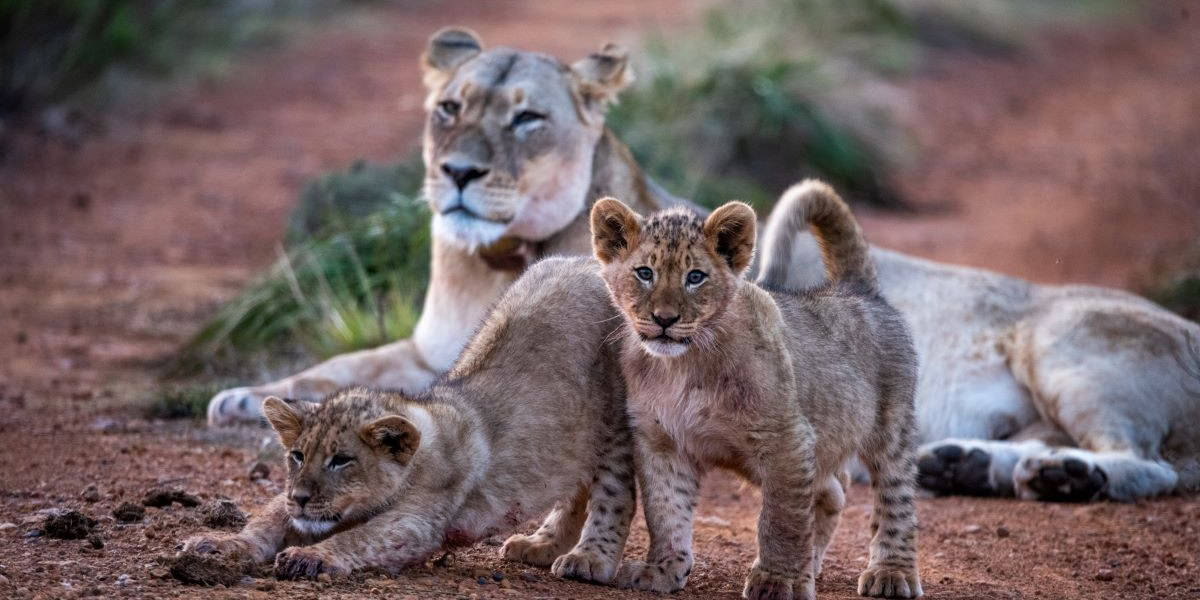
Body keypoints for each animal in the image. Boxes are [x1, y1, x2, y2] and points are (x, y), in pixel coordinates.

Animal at [181, 257, 636, 581]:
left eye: (341, 460)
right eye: (297, 456)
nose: (303, 498)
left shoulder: (416, 521)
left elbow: (361, 537)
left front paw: (310, 558)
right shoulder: (292, 503)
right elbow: (264, 522)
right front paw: (217, 545)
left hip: (618, 420)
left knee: (614, 494)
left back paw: (587, 561)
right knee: (575, 486)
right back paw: (540, 547)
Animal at [593, 182, 921, 600]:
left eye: (695, 277)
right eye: (644, 273)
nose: (664, 319)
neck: (683, 365)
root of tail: (856, 289)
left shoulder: (787, 439)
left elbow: (781, 519)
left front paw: (778, 581)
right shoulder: (661, 441)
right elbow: (665, 511)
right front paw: (663, 571)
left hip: (890, 427)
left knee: (896, 499)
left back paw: (891, 573)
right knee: (834, 489)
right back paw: (813, 565)